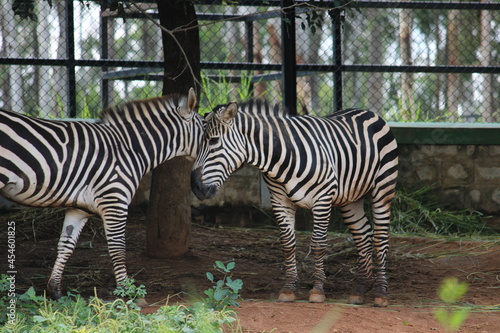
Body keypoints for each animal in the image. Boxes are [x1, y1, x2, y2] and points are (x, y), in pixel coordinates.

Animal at [0, 87, 203, 296]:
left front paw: (55, 290)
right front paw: (125, 291)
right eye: (207, 127)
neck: (130, 148)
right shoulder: (114, 201)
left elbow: (66, 245)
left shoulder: (79, 208)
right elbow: (117, 247)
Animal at [191, 100, 398, 306]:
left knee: (380, 238)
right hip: (350, 199)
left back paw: (380, 293)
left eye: (214, 141)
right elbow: (287, 244)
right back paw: (360, 289)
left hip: (382, 190)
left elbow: (318, 244)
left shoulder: (322, 198)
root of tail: (366, 111)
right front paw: (289, 288)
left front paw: (317, 290)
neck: (282, 158)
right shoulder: (280, 201)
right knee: (363, 234)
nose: (195, 187)